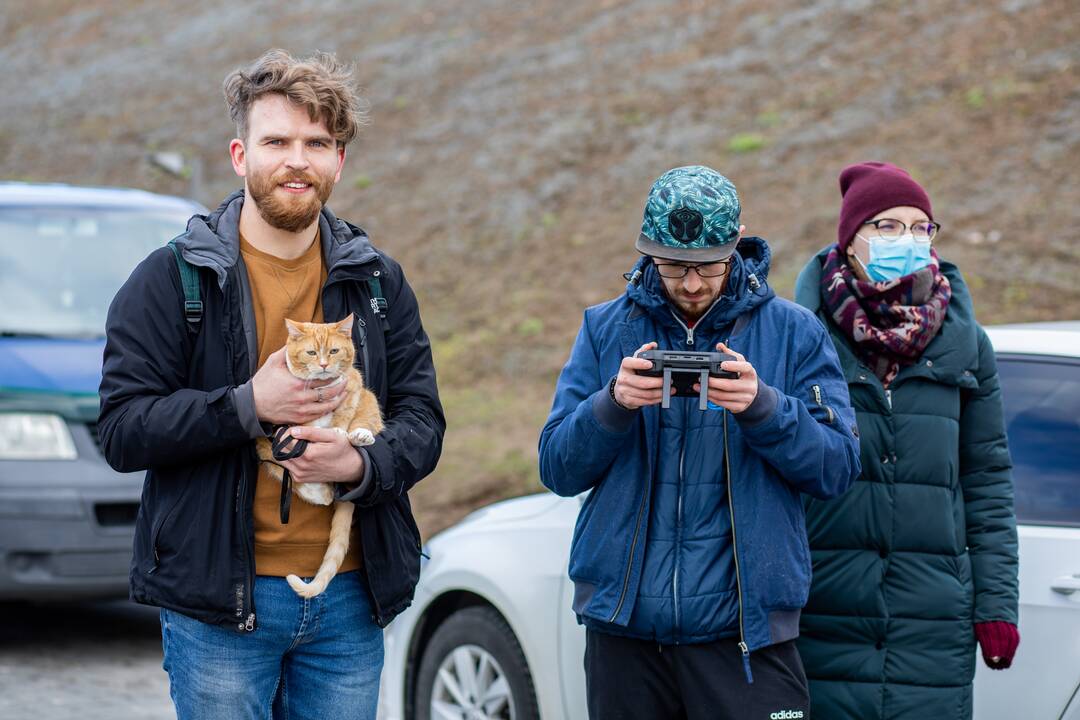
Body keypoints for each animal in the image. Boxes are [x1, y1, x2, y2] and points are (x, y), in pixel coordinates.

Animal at [255, 313, 384, 600]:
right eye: (312, 353)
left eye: (333, 351)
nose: (324, 365)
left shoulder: (354, 387)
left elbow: (343, 415)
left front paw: (337, 431)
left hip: (370, 401)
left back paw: (359, 436)